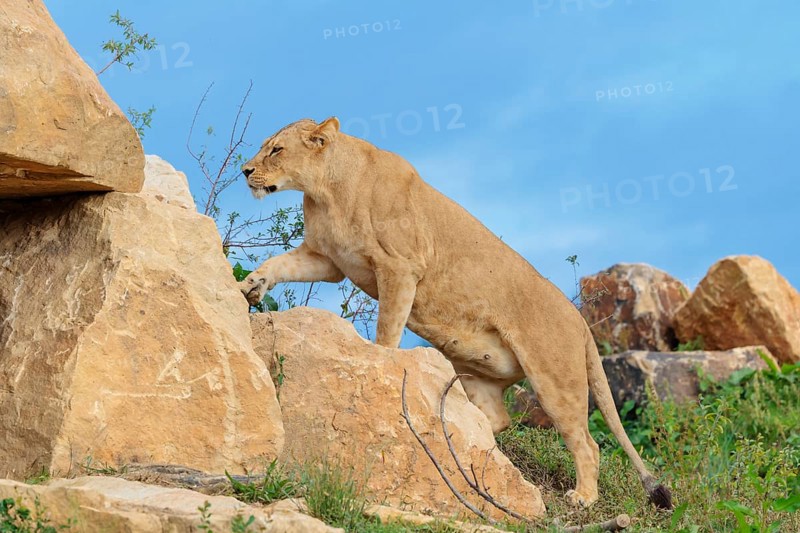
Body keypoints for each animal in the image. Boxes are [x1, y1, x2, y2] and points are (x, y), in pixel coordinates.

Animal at [239, 117, 673, 510]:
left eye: (276, 150)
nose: (245, 171)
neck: (326, 191)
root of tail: (580, 320)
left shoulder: (400, 267)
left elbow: (388, 328)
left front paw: (381, 358)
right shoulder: (327, 259)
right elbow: (277, 264)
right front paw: (251, 287)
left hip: (555, 380)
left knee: (586, 443)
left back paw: (583, 497)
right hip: (478, 372)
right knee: (496, 419)